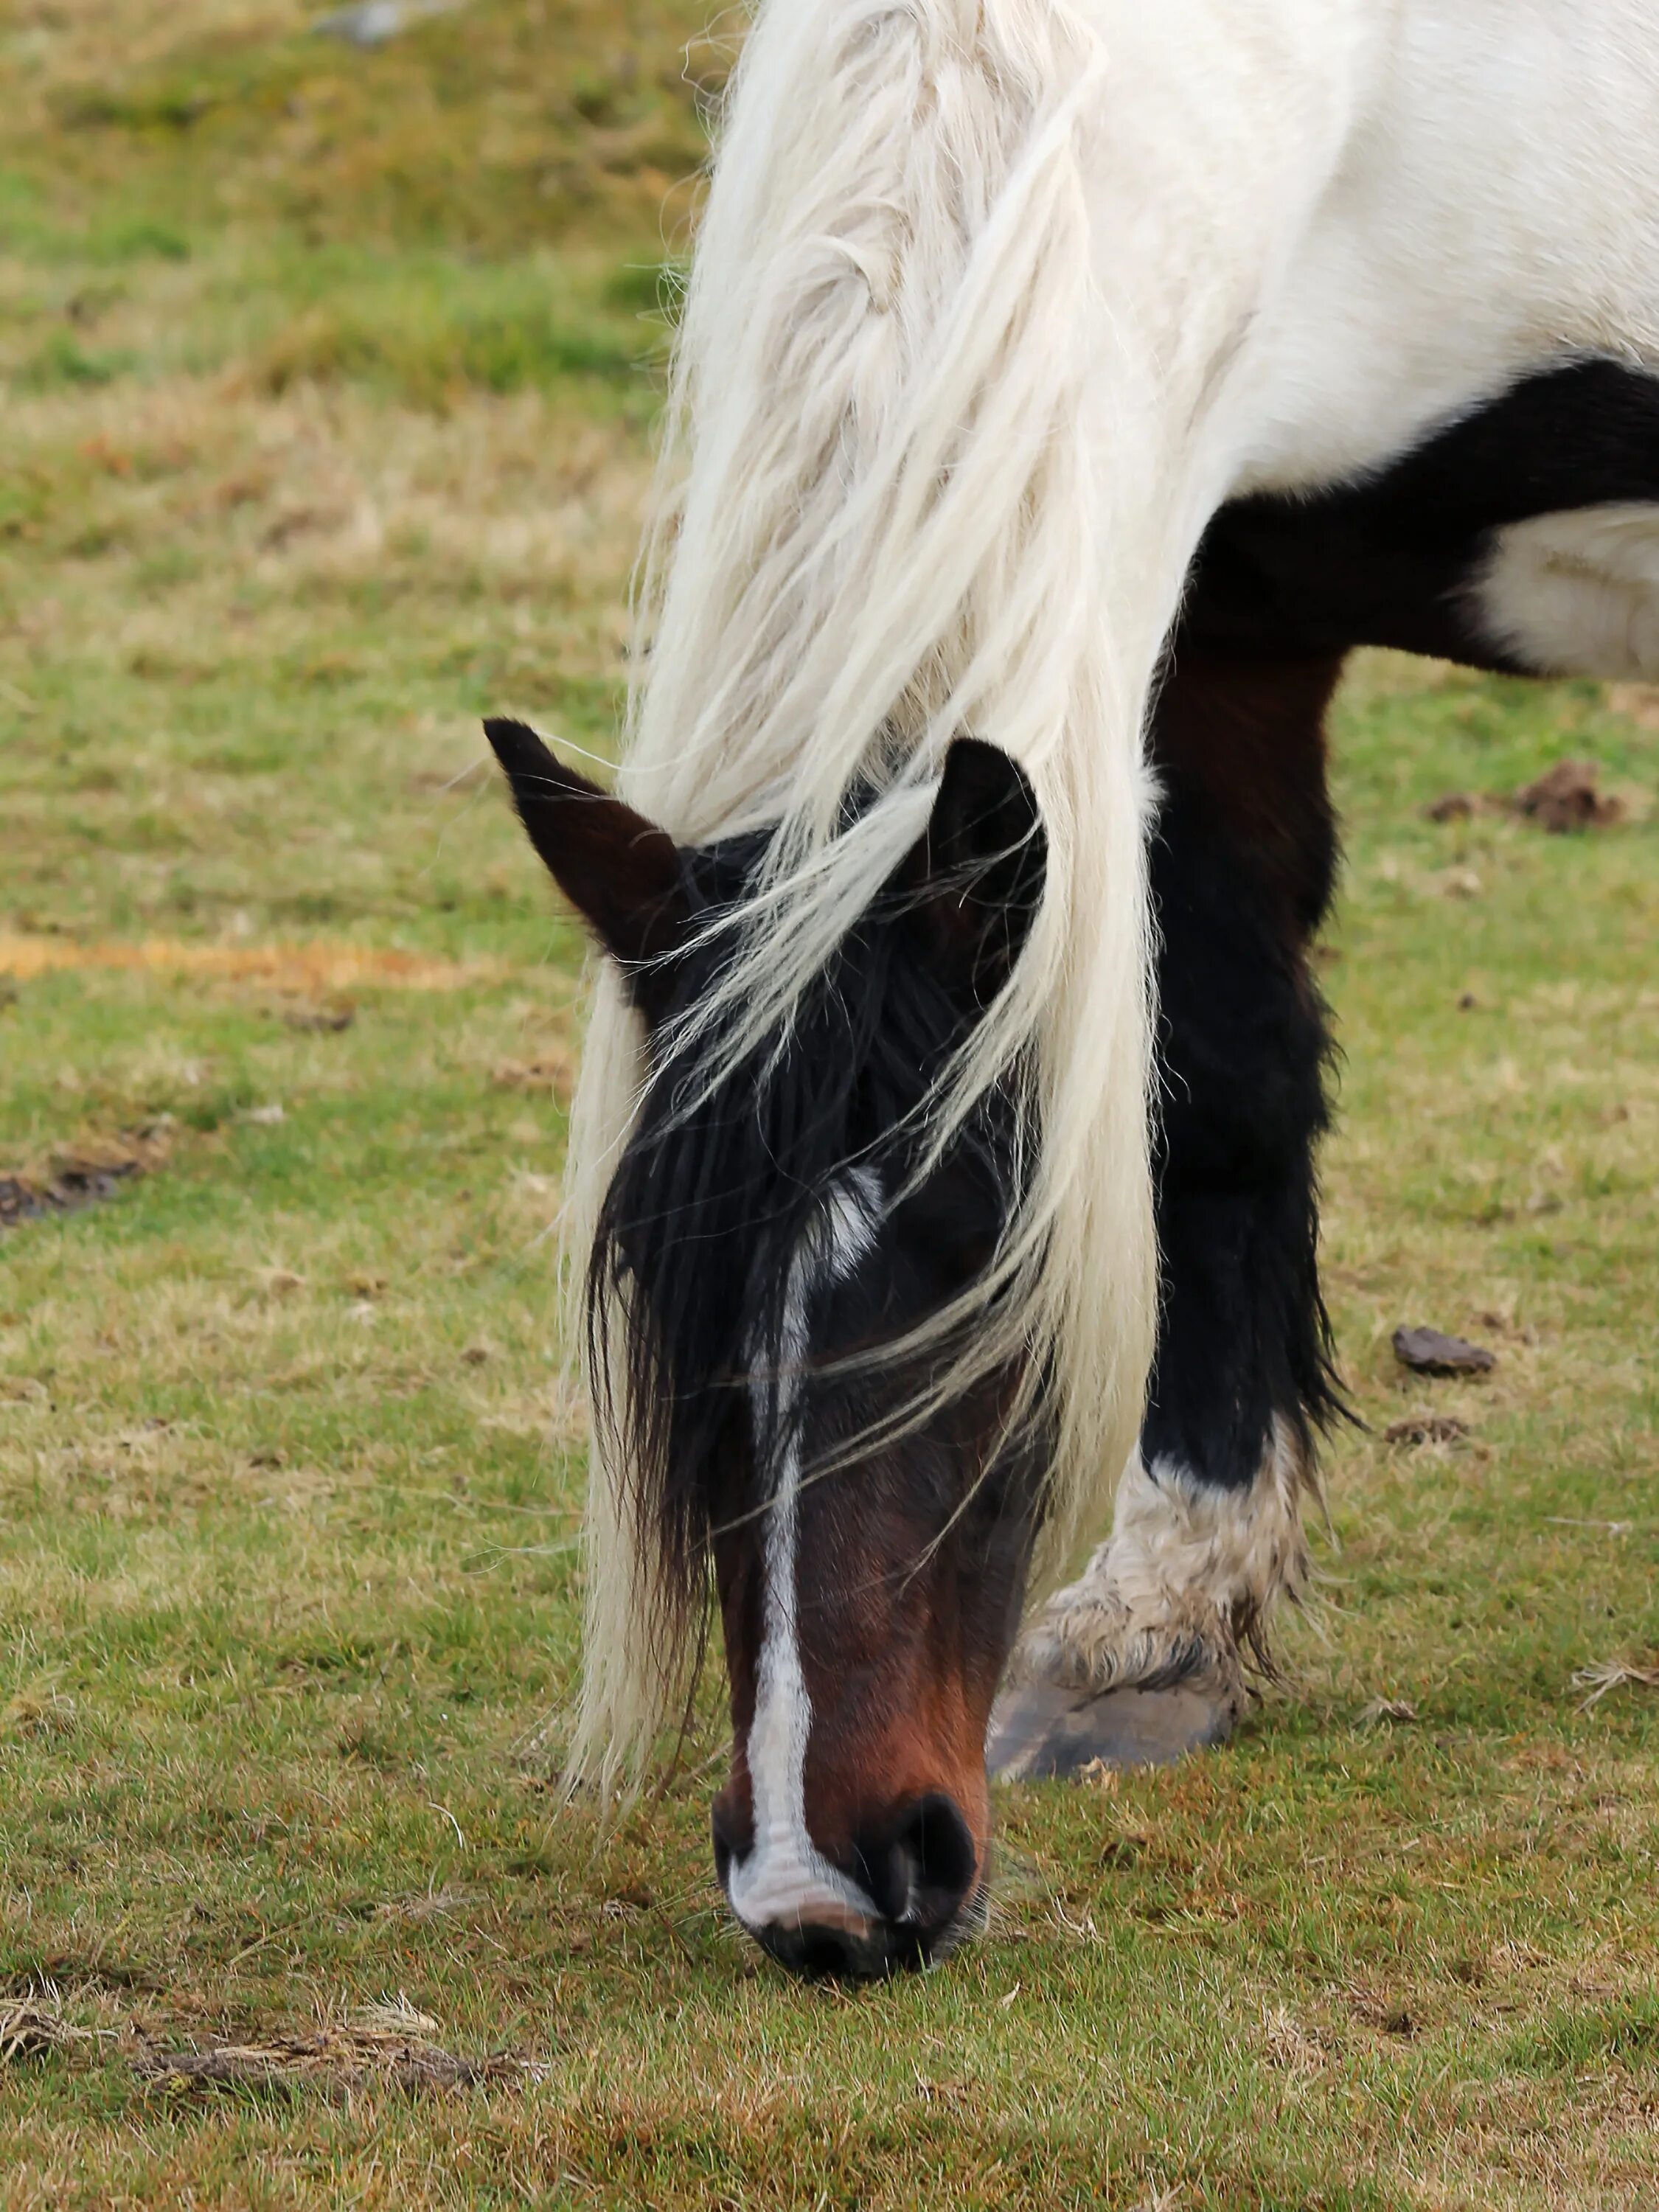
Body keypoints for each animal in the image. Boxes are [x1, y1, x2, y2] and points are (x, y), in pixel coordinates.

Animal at [480, 0, 1659, 1982]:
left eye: (974, 1251)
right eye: (658, 1284)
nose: (821, 1893)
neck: (1371, 81)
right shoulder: (1212, 598)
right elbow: (1220, 1094)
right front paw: (1162, 1629)